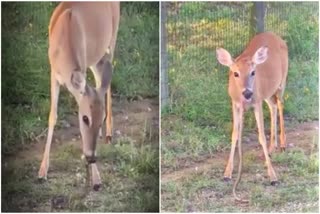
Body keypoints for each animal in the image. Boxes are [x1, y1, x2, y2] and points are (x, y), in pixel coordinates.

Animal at [37, 2, 120, 191]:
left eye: (101, 119)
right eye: (85, 118)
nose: (92, 157)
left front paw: (96, 179)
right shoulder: (53, 73)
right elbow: (52, 116)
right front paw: (42, 171)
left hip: (112, 37)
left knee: (106, 81)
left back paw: (109, 134)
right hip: (96, 58)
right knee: (101, 80)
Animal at [216, 31, 288, 201]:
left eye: (253, 72)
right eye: (235, 73)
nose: (248, 93)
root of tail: (275, 35)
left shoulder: (256, 102)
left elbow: (261, 135)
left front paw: (273, 177)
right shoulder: (235, 103)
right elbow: (235, 134)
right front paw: (227, 173)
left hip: (282, 81)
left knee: (280, 105)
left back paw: (282, 144)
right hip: (267, 93)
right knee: (273, 106)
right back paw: (272, 147)